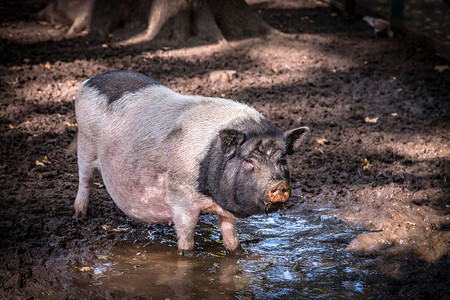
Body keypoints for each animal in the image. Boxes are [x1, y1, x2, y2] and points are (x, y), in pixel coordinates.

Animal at [75, 70, 312, 253]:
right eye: (248, 161)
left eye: (282, 160)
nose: (279, 185)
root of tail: (90, 80)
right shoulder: (181, 199)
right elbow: (186, 239)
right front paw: (186, 253)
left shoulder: (225, 209)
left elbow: (231, 239)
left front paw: (235, 251)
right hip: (85, 143)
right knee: (85, 178)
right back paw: (79, 214)